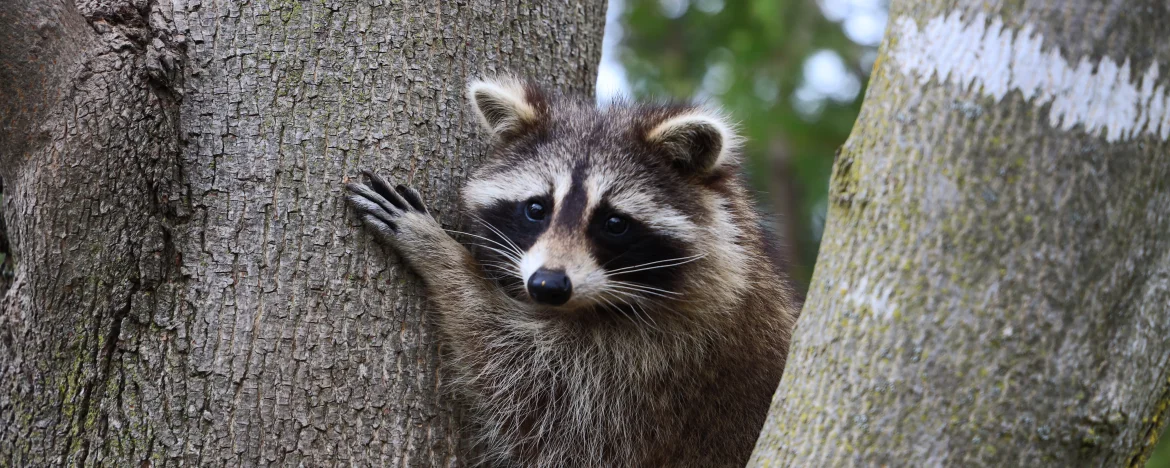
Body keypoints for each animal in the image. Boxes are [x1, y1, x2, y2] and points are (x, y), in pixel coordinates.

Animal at [346, 74, 800, 465]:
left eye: (614, 223)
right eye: (536, 209)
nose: (547, 285)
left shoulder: (655, 367)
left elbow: (516, 373)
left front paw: (439, 253)